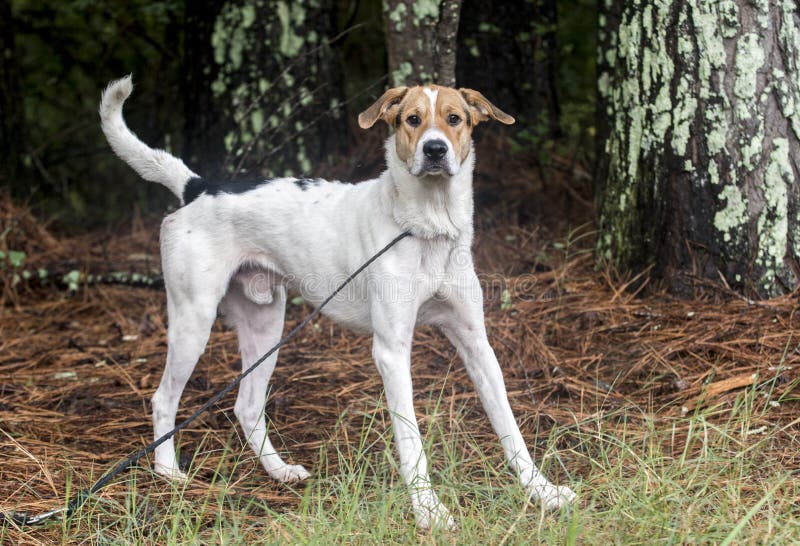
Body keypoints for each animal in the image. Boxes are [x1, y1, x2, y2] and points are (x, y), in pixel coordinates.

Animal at [98, 76, 576, 528]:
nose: (435, 149)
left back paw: (277, 471)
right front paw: (428, 510)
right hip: (193, 321)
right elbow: (412, 439)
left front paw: (542, 491)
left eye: (454, 119)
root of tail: (199, 187)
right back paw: (167, 473)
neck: (428, 225)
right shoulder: (391, 351)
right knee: (164, 399)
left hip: (266, 325)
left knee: (247, 405)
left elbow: (510, 427)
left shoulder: (476, 342)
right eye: (412, 120)